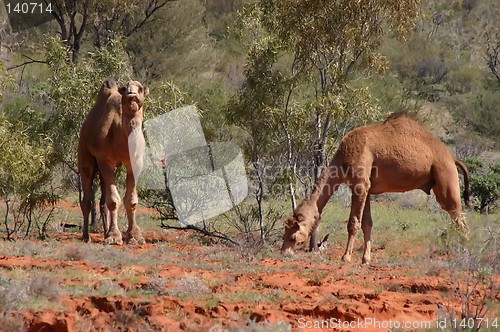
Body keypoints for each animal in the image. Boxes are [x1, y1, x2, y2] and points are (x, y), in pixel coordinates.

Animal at [77, 78, 149, 244]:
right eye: (125, 88)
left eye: (140, 88)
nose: (131, 93)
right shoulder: (105, 160)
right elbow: (113, 200)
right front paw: (114, 237)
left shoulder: (135, 162)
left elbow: (131, 200)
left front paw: (135, 236)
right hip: (84, 155)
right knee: (87, 198)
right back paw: (86, 236)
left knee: (102, 201)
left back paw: (104, 232)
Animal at [284, 113, 470, 264]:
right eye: (284, 232)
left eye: (293, 236)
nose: (284, 251)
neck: (343, 160)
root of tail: (452, 158)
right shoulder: (366, 188)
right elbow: (367, 223)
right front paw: (365, 259)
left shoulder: (360, 185)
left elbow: (353, 222)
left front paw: (346, 257)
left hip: (445, 177)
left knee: (458, 217)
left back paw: (462, 253)